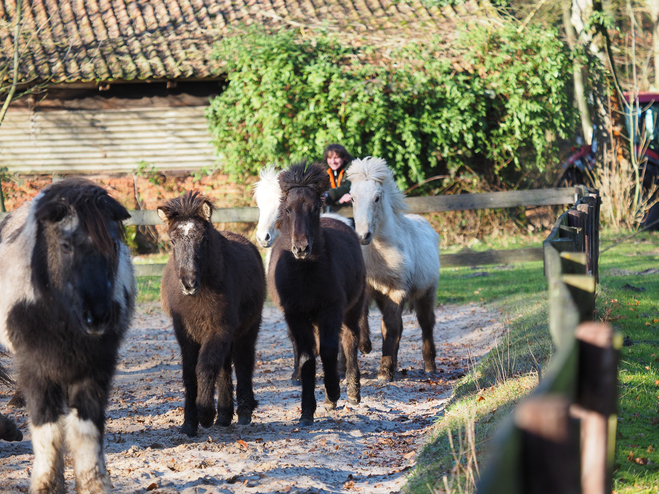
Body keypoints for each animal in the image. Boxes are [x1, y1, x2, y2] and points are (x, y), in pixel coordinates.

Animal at [0, 178, 135, 494]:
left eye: (113, 245)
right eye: (65, 245)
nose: (98, 316)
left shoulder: (96, 368)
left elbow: (86, 430)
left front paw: (95, 485)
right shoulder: (36, 368)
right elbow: (47, 429)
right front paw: (47, 485)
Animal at [158, 191, 266, 438]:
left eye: (204, 239)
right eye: (173, 241)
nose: (189, 283)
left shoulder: (219, 328)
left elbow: (205, 367)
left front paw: (205, 413)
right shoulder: (185, 335)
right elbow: (190, 374)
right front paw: (189, 422)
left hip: (247, 329)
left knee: (243, 362)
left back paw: (243, 411)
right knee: (224, 367)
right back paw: (225, 415)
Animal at [270, 162, 372, 424]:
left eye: (314, 208)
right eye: (287, 209)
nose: (301, 248)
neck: (306, 274)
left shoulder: (331, 309)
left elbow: (328, 349)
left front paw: (333, 393)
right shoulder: (295, 315)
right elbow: (307, 358)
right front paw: (307, 411)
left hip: (351, 309)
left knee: (349, 340)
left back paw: (352, 392)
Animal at [348, 158, 440, 382]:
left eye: (377, 198)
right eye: (352, 198)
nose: (363, 236)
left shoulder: (397, 291)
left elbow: (389, 327)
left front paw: (384, 372)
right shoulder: (367, 288)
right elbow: (365, 318)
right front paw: (365, 346)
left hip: (426, 293)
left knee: (426, 323)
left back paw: (429, 366)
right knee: (400, 326)